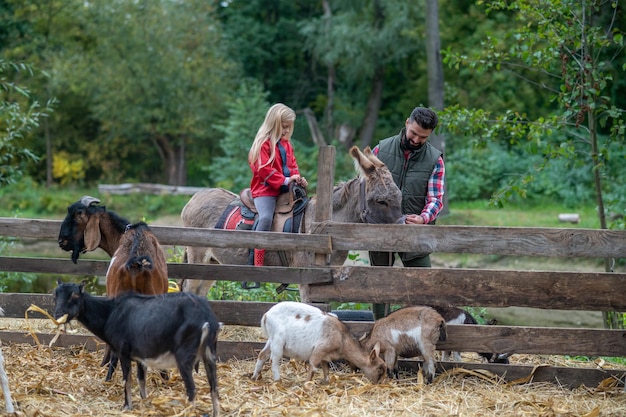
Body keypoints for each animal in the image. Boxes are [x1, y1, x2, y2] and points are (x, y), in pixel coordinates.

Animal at [52, 278, 221, 414]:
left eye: (74, 295)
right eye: (55, 295)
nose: (58, 315)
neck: (110, 313)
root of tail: (206, 319)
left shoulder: (123, 351)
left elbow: (127, 380)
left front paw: (127, 406)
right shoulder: (141, 355)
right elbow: (141, 379)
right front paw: (144, 402)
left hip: (184, 355)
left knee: (192, 389)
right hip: (209, 353)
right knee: (214, 388)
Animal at [249, 300, 386, 384]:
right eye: (379, 369)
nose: (379, 383)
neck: (342, 338)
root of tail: (266, 316)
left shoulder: (325, 355)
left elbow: (325, 368)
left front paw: (326, 382)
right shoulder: (320, 349)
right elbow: (313, 366)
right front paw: (306, 384)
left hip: (271, 340)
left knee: (262, 355)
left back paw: (254, 377)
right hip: (278, 340)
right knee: (274, 361)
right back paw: (278, 381)